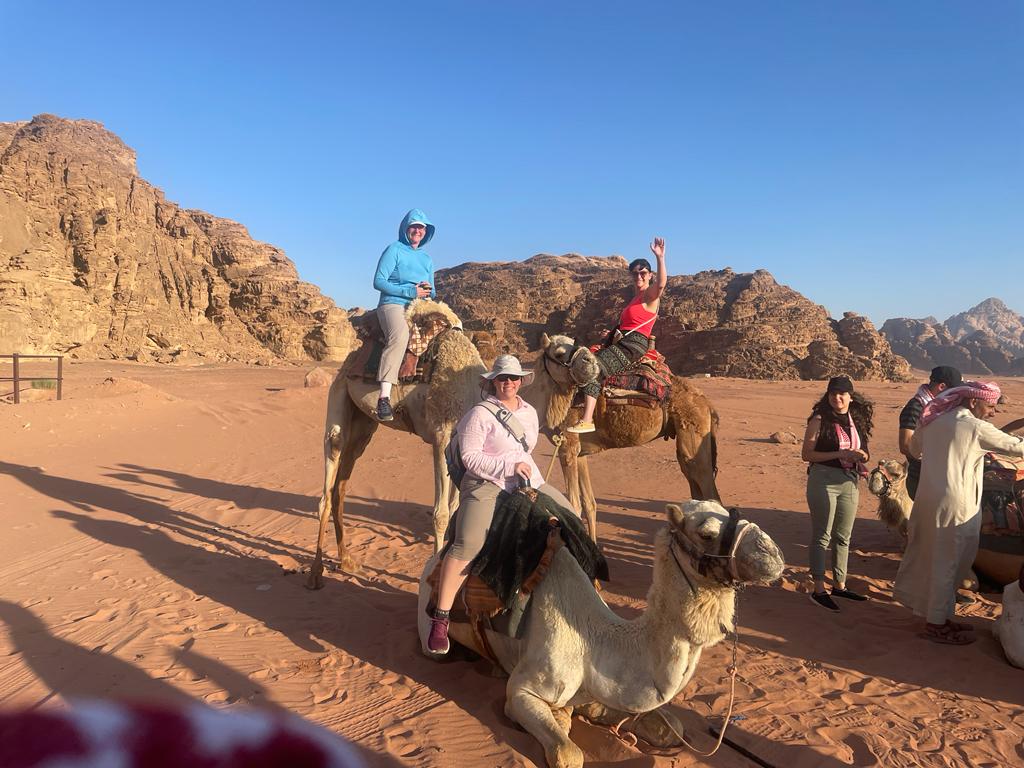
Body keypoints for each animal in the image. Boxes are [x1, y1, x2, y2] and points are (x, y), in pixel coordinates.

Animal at [306, 300, 486, 589]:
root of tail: (347, 362)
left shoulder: (464, 449)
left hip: (364, 425)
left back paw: (347, 561)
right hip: (339, 397)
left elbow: (456, 510)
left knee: (340, 487)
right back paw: (315, 573)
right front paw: (431, 579)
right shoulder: (442, 435)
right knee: (327, 483)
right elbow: (441, 514)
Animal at [416, 499, 785, 768]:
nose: (773, 554)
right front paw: (562, 721)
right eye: (707, 532)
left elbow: (672, 727)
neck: (597, 641)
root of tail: (433, 561)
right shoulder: (522, 691)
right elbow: (568, 753)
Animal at [527, 333, 721, 540]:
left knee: (707, 487)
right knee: (694, 483)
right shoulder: (579, 453)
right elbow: (589, 503)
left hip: (693, 432)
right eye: (559, 353)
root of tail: (706, 402)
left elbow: (575, 506)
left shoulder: (567, 447)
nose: (591, 362)